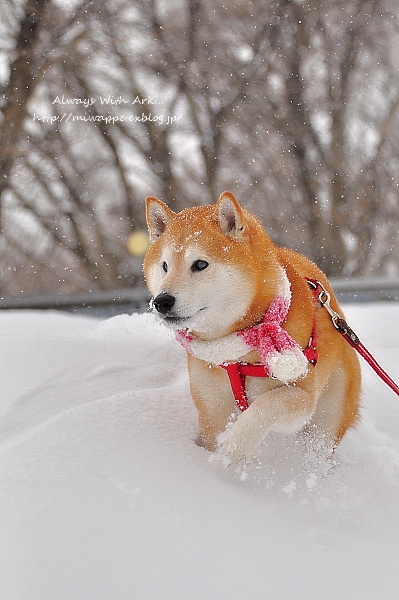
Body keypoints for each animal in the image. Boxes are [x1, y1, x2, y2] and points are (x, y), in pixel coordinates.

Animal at [144, 192, 362, 464]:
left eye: (200, 264)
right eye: (164, 265)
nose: (161, 301)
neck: (237, 349)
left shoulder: (302, 392)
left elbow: (269, 402)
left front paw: (238, 443)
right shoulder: (212, 412)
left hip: (327, 416)